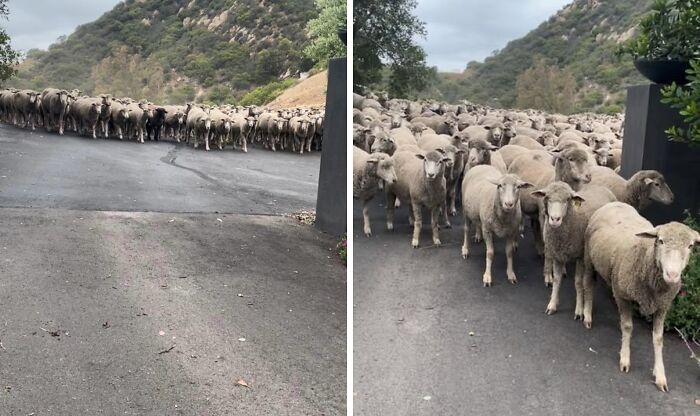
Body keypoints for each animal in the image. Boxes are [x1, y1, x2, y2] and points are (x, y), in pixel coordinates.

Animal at [531, 182, 616, 315]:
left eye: (567, 199)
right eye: (547, 198)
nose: (555, 219)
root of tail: (601, 186)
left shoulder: (580, 257)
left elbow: (578, 282)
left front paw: (579, 309)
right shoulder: (557, 255)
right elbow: (557, 279)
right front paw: (552, 304)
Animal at [582, 202, 700, 392]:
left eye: (690, 246)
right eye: (660, 240)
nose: (672, 275)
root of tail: (614, 202)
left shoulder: (663, 306)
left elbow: (658, 338)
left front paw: (660, 375)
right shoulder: (623, 296)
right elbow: (628, 326)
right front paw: (625, 359)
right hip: (588, 257)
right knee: (588, 283)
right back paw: (586, 315)